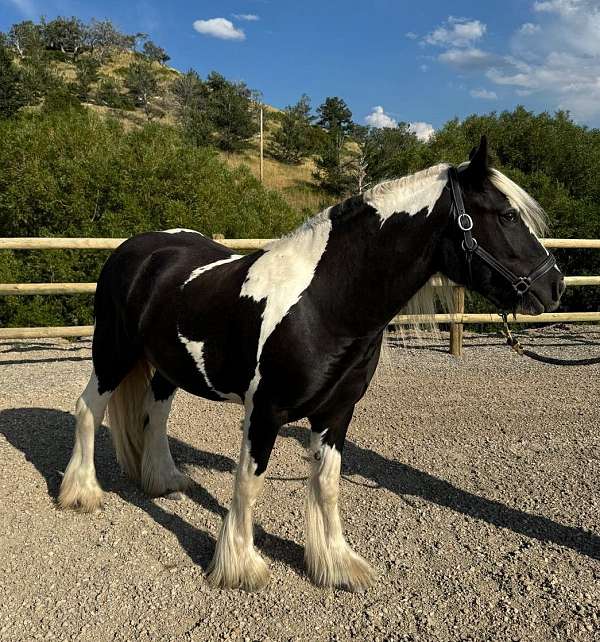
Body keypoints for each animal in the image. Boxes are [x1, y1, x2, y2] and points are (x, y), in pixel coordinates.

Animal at [56, 136, 564, 592]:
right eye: (507, 215)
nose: (555, 286)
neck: (324, 304)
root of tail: (135, 249)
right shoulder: (264, 412)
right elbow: (248, 482)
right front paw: (241, 567)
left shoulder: (337, 413)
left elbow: (328, 483)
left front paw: (335, 565)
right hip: (112, 353)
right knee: (88, 410)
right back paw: (81, 493)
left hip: (168, 365)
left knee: (155, 413)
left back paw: (164, 481)